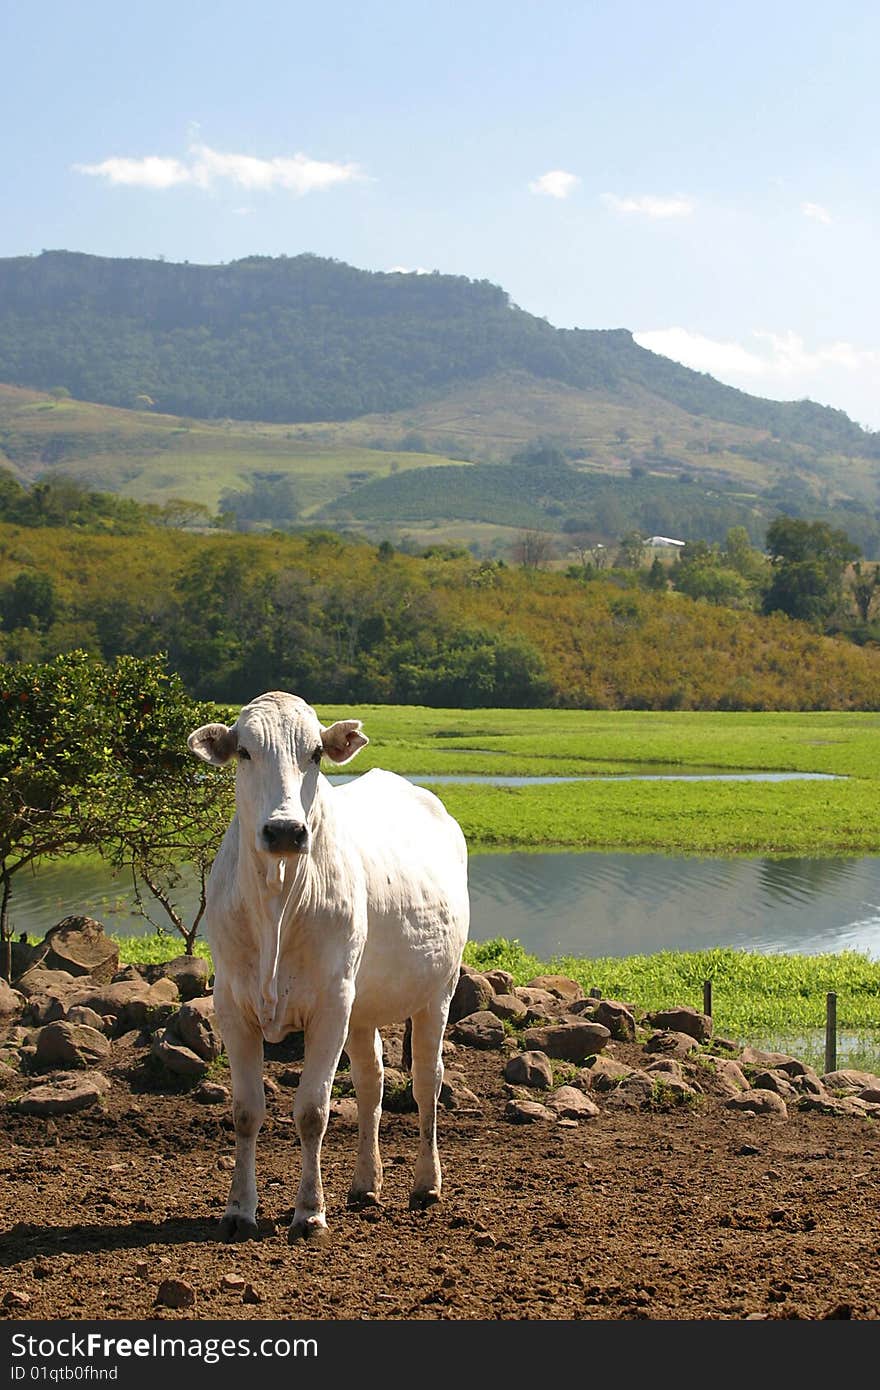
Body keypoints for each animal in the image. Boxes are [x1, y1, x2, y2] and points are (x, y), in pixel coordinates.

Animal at [189, 689, 469, 1245]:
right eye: (245, 751)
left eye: (316, 753)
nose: (284, 830)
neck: (278, 897)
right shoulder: (232, 1002)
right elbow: (246, 1110)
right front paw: (239, 1210)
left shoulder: (330, 1004)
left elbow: (312, 1111)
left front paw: (310, 1212)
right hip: (362, 1008)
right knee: (370, 1083)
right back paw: (366, 1184)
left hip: (437, 992)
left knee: (427, 1081)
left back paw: (426, 1184)